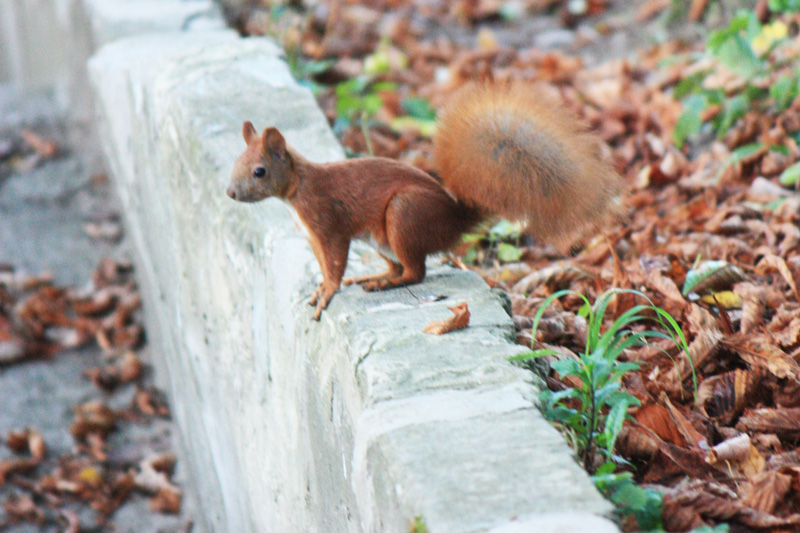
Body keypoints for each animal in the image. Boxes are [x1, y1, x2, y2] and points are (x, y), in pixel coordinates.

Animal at [227, 81, 622, 320]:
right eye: (236, 162)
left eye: (259, 171)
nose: (230, 193)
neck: (296, 190)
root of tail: (453, 219)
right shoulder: (312, 235)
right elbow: (325, 267)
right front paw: (322, 288)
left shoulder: (328, 225)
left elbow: (334, 264)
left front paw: (327, 294)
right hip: (382, 240)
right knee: (400, 268)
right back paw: (374, 277)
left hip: (404, 215)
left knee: (415, 272)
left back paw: (383, 284)